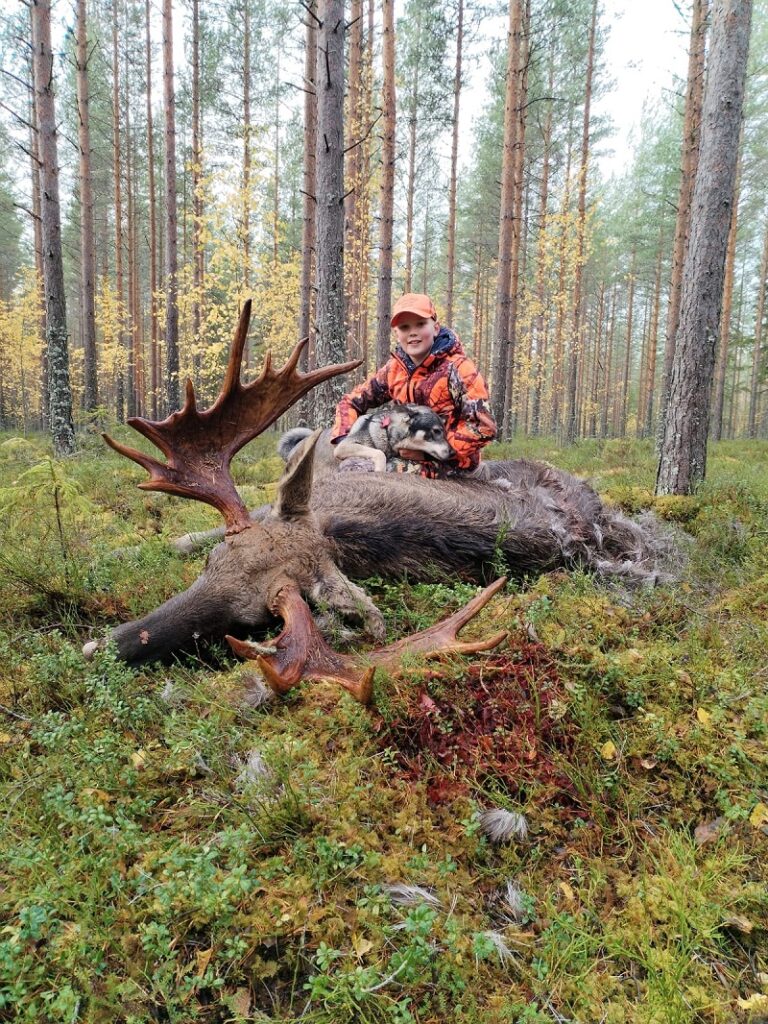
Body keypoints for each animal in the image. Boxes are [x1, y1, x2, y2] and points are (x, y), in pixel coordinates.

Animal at [85, 301, 667, 704]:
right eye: (213, 566)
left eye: (252, 620)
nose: (99, 648)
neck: (339, 524)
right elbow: (188, 535)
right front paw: (121, 552)